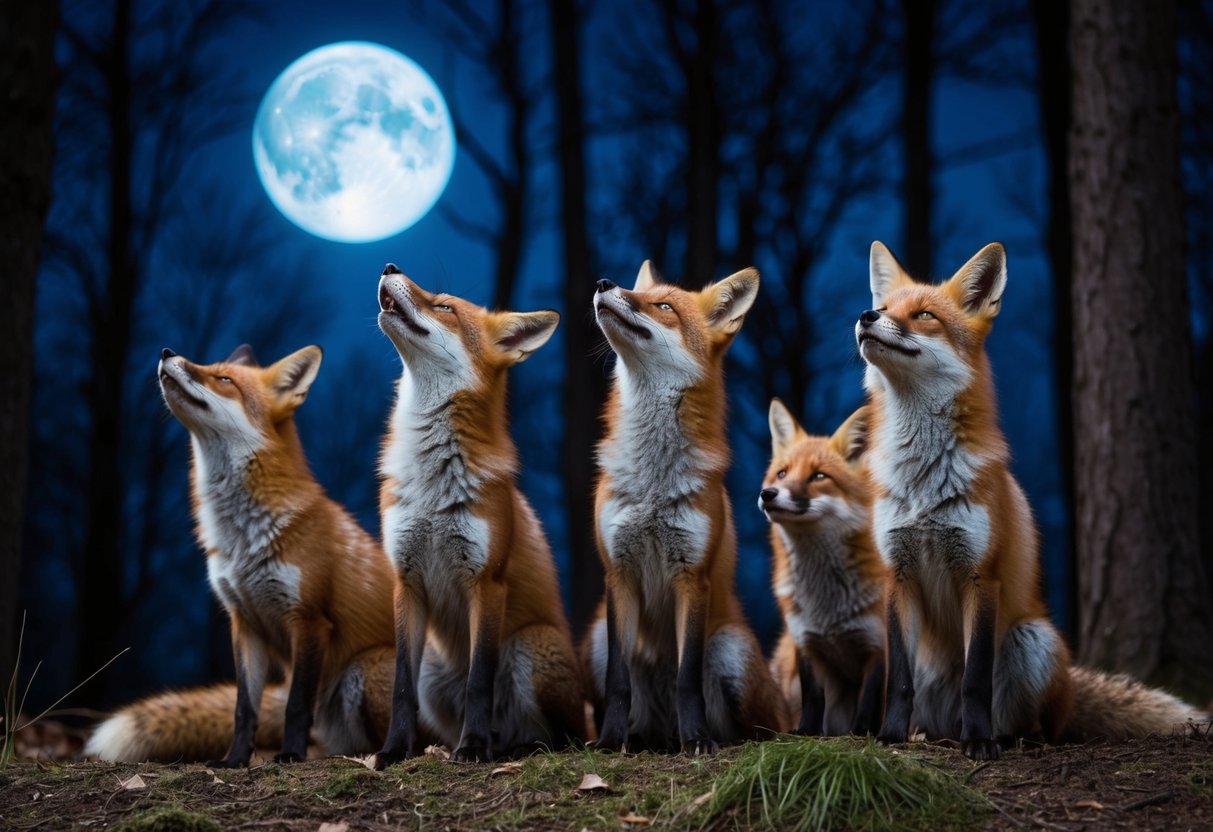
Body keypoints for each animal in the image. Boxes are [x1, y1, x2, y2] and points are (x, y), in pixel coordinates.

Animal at [85, 344, 397, 765]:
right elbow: (244, 708)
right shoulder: (246, 622)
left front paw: (290, 756)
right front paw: (235, 760)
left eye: (224, 379)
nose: (167, 352)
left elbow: (296, 704)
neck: (242, 543)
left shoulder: (309, 619)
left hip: (366, 666)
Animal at [371, 264, 585, 768]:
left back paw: (511, 746)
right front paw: (395, 750)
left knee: (563, 737)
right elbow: (400, 688)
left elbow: (478, 681)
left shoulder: (486, 580)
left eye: (445, 306)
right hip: (433, 672)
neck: (432, 486)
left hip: (531, 645)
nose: (389, 267)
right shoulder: (405, 579)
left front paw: (471, 748)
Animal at [582, 261, 786, 754]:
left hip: (730, 652)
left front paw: (696, 739)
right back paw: (637, 736)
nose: (603, 283)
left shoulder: (691, 574)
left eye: (663, 307)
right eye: (640, 293)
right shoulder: (619, 572)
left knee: (763, 729)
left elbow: (686, 678)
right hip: (595, 639)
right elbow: (619, 681)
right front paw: (611, 740)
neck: (654, 485)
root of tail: (660, 732)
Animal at [761, 400, 887, 737]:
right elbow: (814, 698)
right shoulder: (807, 644)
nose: (768, 494)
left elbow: (870, 700)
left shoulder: (879, 645)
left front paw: (861, 733)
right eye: (781, 473)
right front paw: (806, 731)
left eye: (818, 476)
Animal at [857, 241, 1208, 760]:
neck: (923, 482)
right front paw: (890, 737)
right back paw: (925, 733)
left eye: (923, 315)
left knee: (1033, 723)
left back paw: (1004, 736)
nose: (865, 316)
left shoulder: (982, 576)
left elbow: (977, 680)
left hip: (1033, 638)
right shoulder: (896, 577)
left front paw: (979, 742)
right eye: (883, 309)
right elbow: (899, 682)